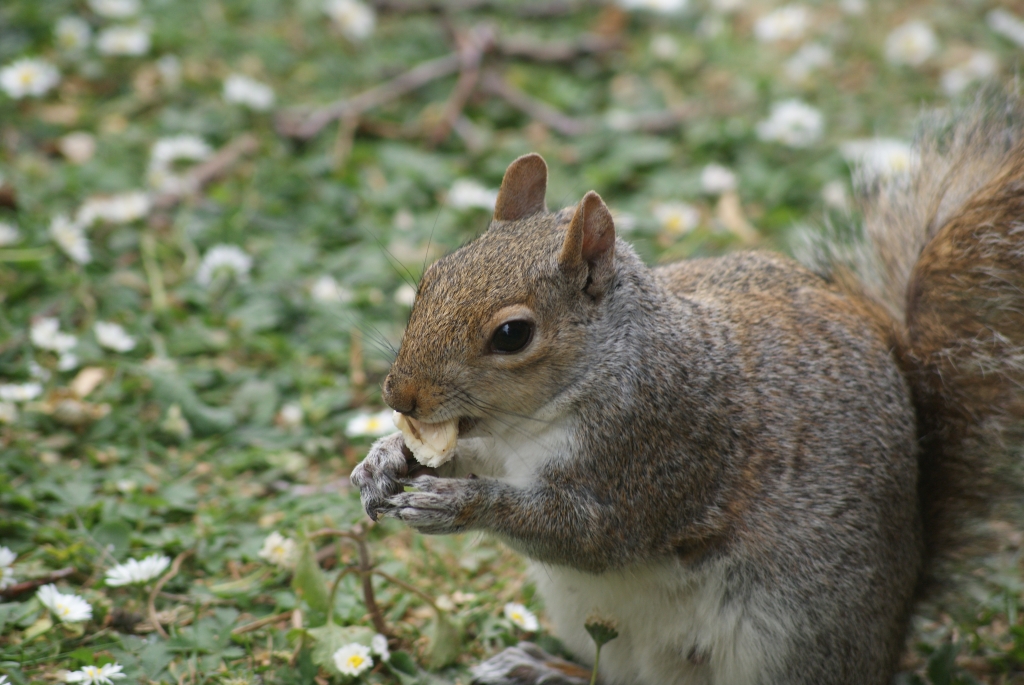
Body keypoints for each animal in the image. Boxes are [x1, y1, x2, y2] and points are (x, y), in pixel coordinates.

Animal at [348, 92, 1024, 683]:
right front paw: (385, 459)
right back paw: (540, 668)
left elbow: (588, 533)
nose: (400, 397)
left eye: (513, 335)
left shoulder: (661, 449)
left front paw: (457, 504)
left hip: (789, 640)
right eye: (432, 279)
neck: (534, 421)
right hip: (590, 619)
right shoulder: (496, 443)